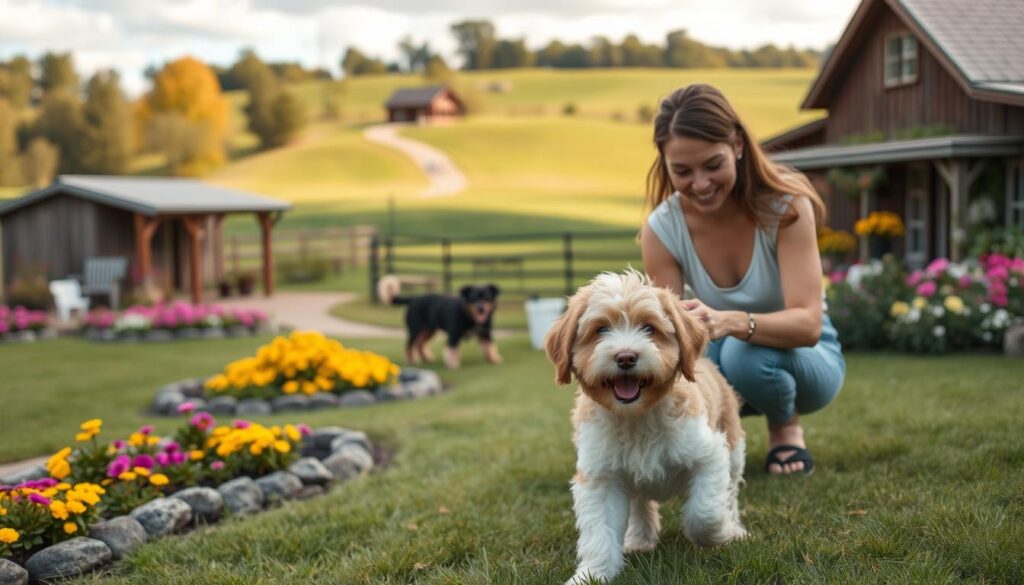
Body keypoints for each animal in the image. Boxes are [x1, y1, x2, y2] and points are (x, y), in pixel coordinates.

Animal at [544, 272, 745, 581]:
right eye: (601, 330)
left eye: (649, 328)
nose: (625, 356)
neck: (637, 416)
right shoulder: (600, 476)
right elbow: (600, 533)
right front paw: (591, 575)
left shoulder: (709, 455)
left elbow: (705, 511)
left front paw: (717, 534)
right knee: (640, 502)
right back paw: (639, 538)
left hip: (734, 450)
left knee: (731, 491)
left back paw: (734, 528)